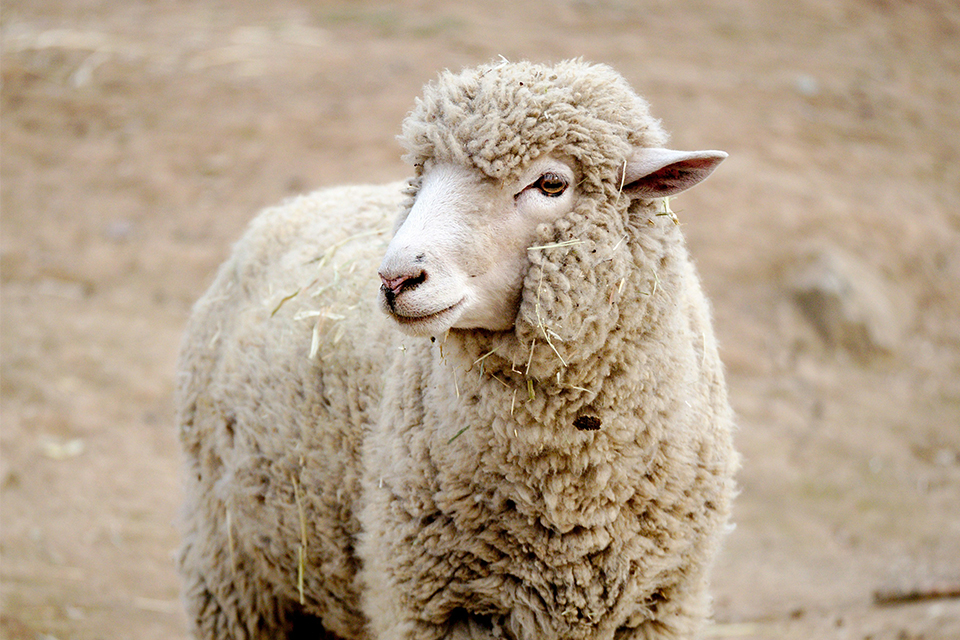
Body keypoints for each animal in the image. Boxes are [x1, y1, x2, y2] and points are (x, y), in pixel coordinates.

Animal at [176, 59, 738, 640]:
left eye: (552, 182)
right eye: (422, 177)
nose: (395, 279)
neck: (567, 496)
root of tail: (301, 201)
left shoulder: (659, 606)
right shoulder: (437, 606)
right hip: (230, 563)